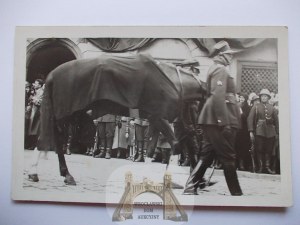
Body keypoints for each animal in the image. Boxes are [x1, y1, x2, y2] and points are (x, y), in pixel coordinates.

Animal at [29, 53, 205, 185]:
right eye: (198, 106)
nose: (200, 126)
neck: (172, 80)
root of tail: (52, 74)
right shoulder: (158, 117)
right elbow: (175, 143)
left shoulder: (157, 120)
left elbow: (163, 144)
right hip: (65, 114)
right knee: (51, 138)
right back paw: (50, 172)